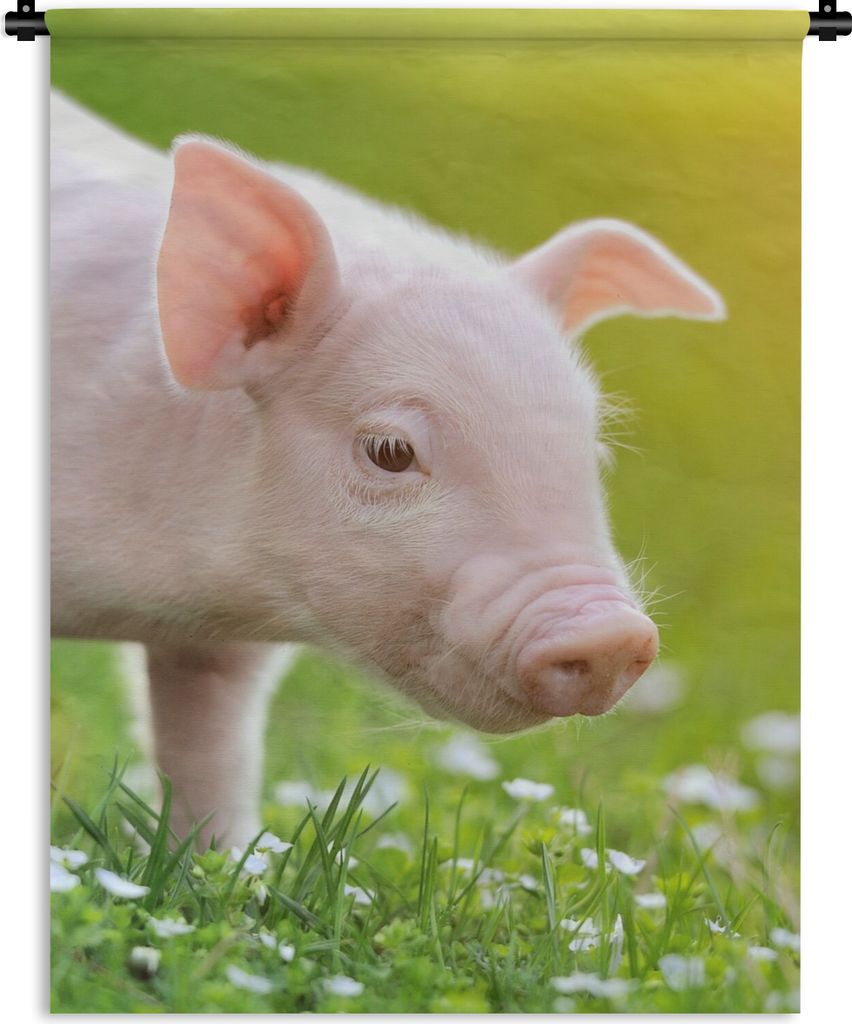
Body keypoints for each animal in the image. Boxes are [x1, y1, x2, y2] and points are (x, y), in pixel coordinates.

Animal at [50, 92, 724, 845]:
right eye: (390, 452)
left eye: (595, 452)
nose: (610, 633)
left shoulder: (214, 648)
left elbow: (210, 752)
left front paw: (222, 859)